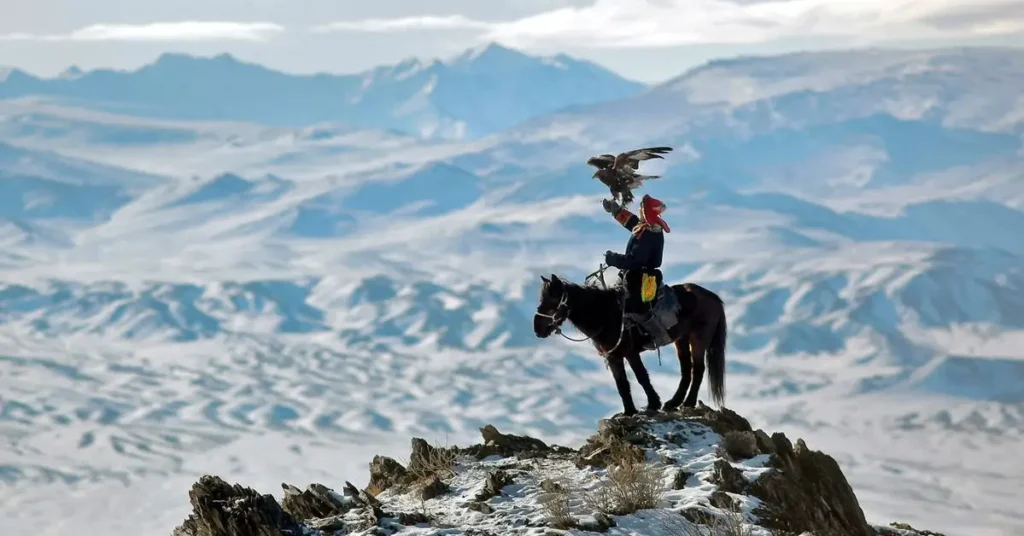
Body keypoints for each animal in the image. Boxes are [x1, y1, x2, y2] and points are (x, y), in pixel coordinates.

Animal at [532, 272, 727, 417]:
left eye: (551, 301)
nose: (537, 329)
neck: (605, 314)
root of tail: (713, 297)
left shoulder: (630, 352)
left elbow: (641, 377)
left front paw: (653, 404)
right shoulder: (613, 356)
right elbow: (622, 384)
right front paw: (629, 411)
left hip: (699, 339)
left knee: (698, 369)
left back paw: (688, 403)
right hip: (682, 339)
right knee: (686, 369)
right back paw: (673, 403)